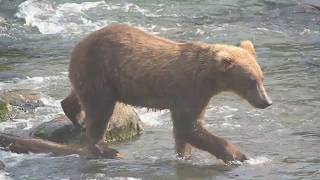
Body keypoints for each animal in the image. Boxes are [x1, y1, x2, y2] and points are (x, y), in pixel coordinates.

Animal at [62, 23, 272, 163]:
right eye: (251, 80)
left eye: (262, 78)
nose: (266, 102)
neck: (208, 79)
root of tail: (79, 43)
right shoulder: (188, 90)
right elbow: (188, 126)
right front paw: (240, 155)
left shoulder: (200, 96)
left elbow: (186, 130)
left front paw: (184, 155)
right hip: (100, 69)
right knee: (100, 109)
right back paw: (107, 149)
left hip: (96, 76)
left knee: (80, 97)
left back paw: (77, 116)